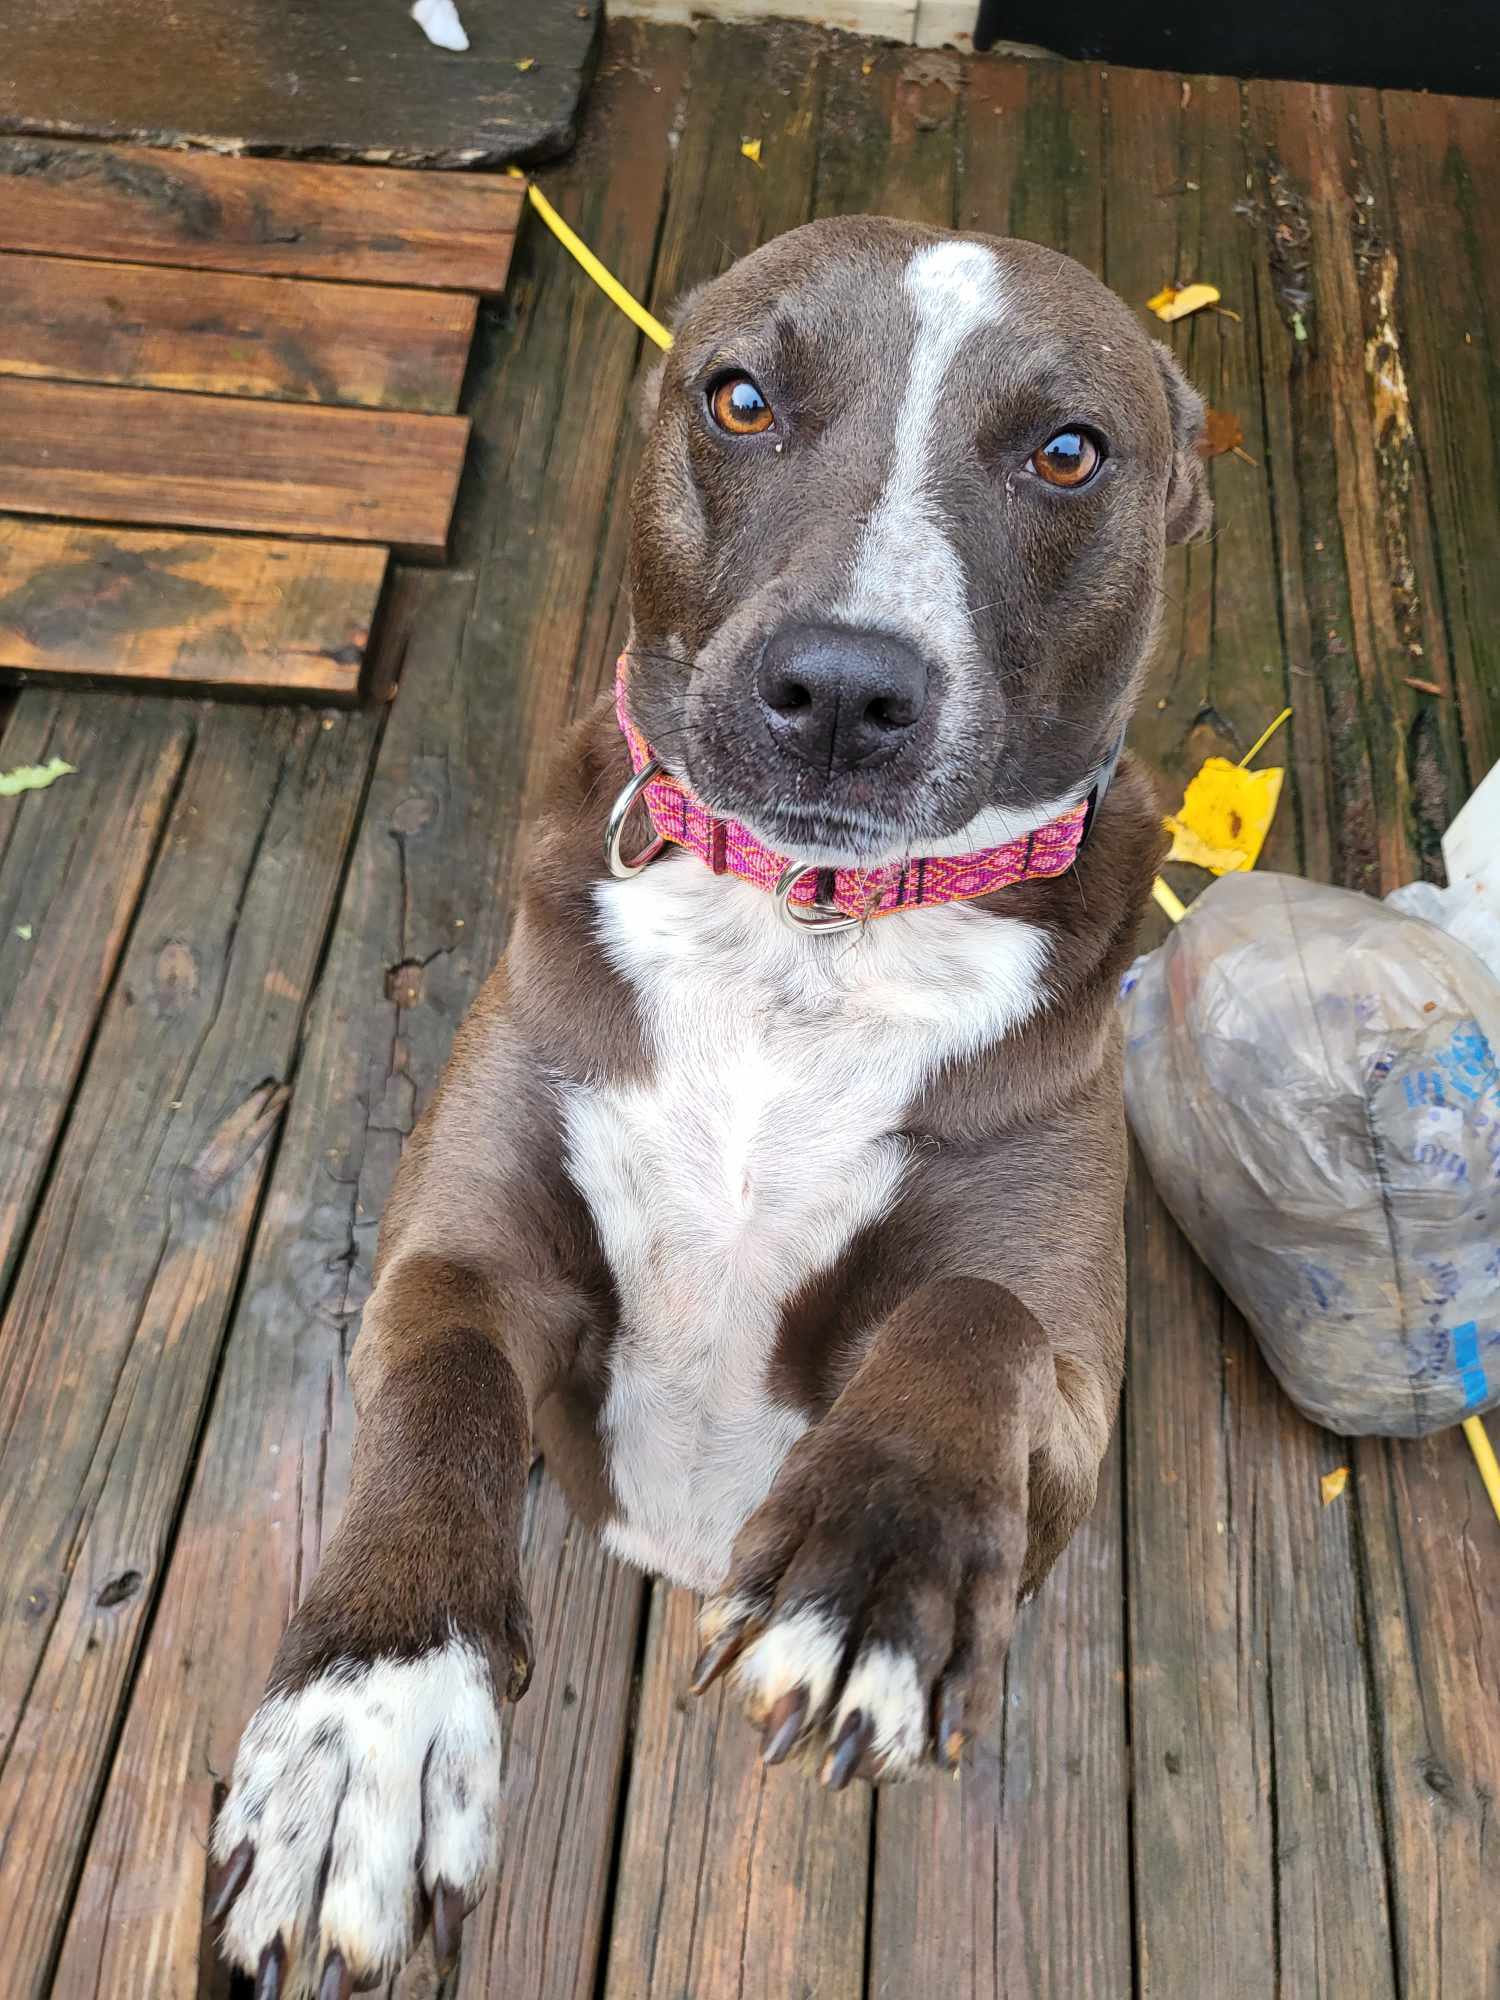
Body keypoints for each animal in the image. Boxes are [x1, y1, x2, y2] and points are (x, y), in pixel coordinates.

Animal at [206, 219, 1208, 2000]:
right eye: (740, 397)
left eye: (1068, 451)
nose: (844, 689)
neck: (805, 933)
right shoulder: (461, 1256)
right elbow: (440, 1405)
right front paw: (368, 1728)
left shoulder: (1071, 1391)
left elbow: (978, 1319)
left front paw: (875, 1563)